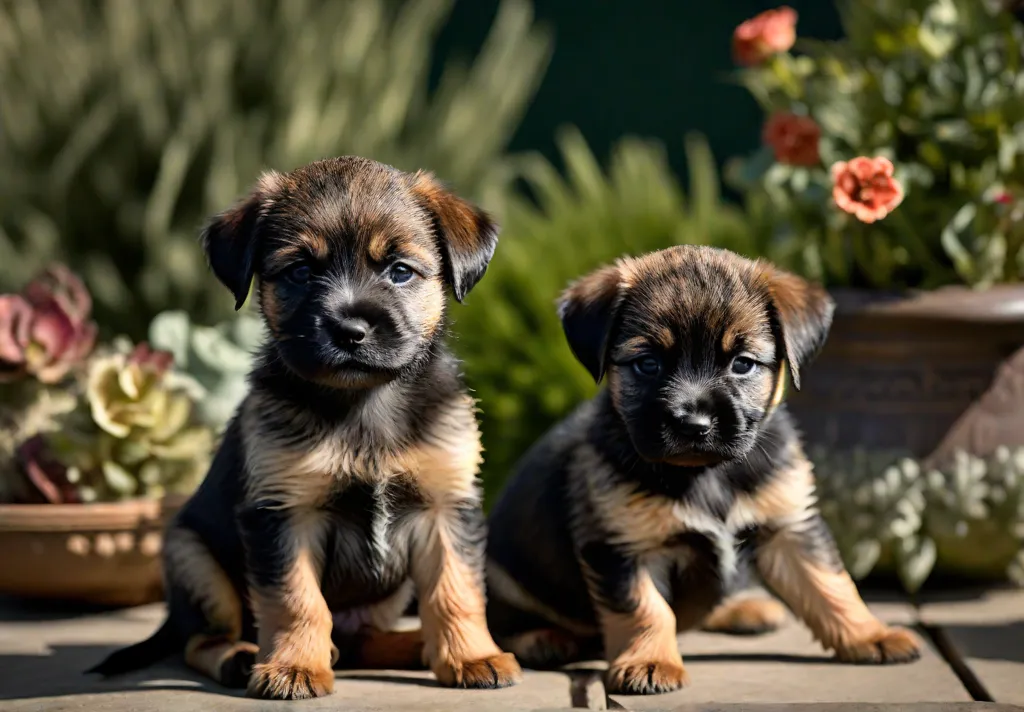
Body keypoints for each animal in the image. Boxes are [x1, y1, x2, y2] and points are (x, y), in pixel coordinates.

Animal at [87, 157, 520, 700]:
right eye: (300, 271)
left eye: (400, 271)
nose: (350, 330)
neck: (363, 404)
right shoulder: (284, 515)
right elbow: (296, 598)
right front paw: (293, 667)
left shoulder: (446, 508)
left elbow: (455, 589)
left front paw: (471, 656)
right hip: (193, 560)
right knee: (202, 640)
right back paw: (242, 657)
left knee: (362, 639)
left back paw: (414, 646)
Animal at [483, 244, 925, 696]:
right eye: (647, 364)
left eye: (742, 364)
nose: (693, 423)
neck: (708, 474)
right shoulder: (623, 547)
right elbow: (647, 609)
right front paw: (651, 661)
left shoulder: (791, 528)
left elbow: (830, 585)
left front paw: (870, 635)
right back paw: (544, 639)